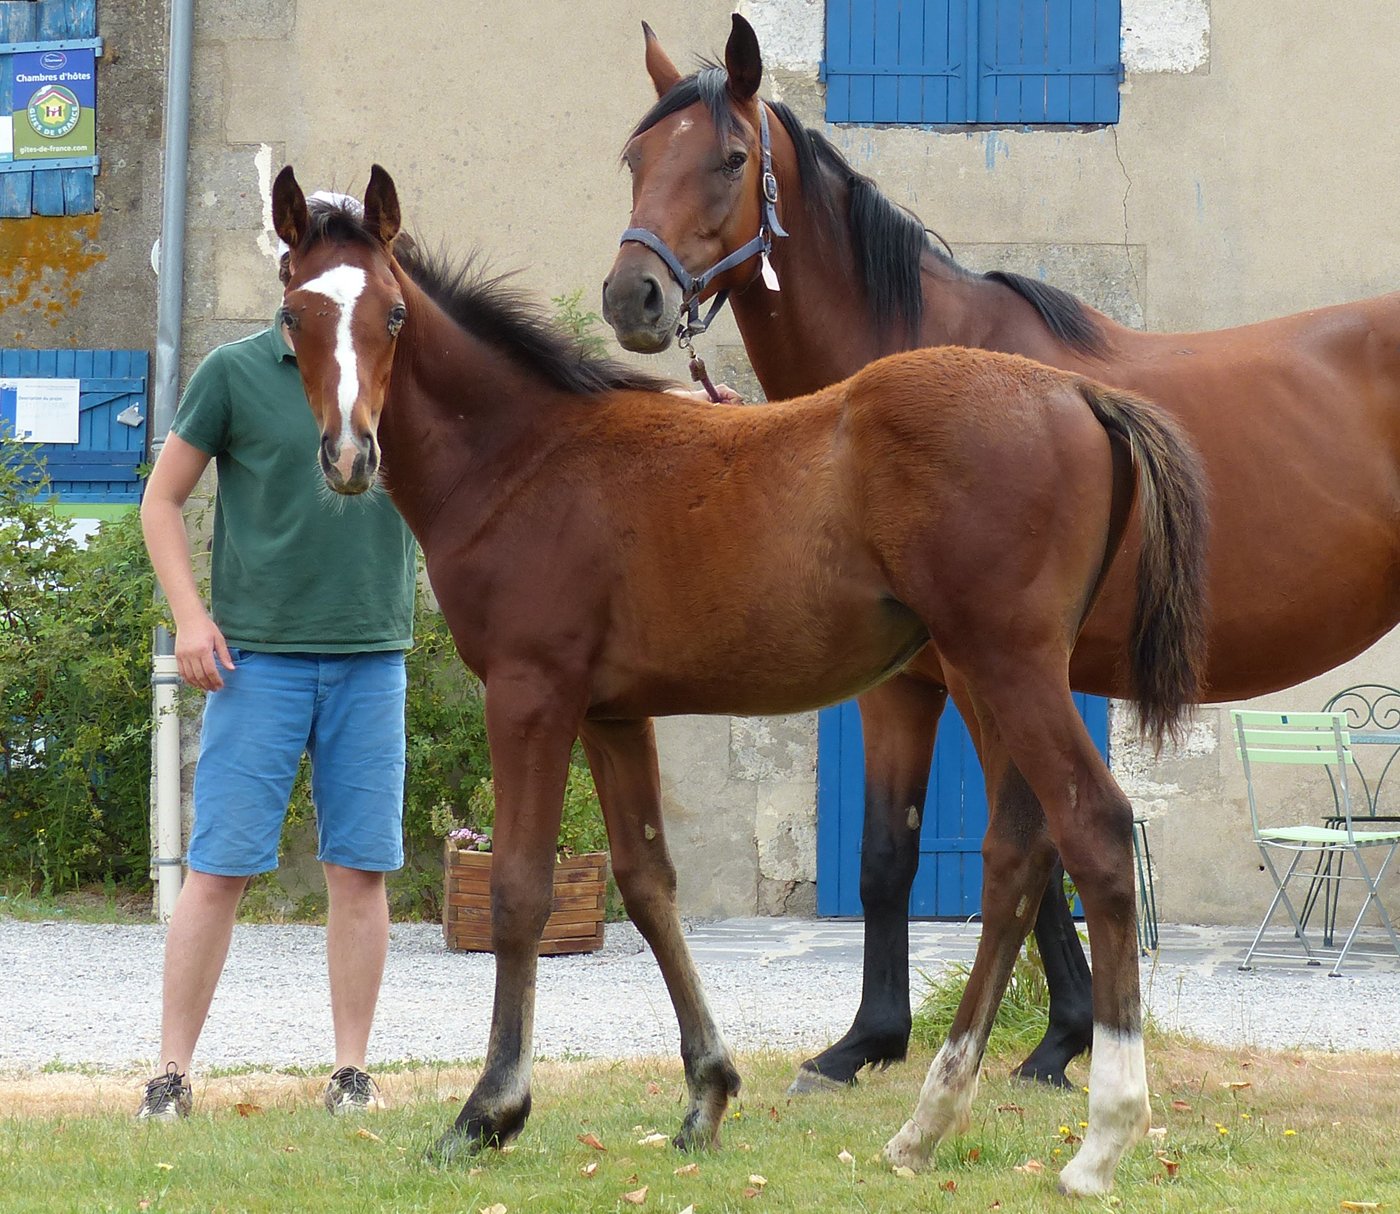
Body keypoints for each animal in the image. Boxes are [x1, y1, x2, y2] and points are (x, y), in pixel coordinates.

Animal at [270, 164, 1207, 1195]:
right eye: (293, 317)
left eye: (394, 315)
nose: (348, 455)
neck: (522, 458)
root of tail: (1076, 389)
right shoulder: (610, 712)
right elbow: (646, 883)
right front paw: (707, 1096)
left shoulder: (529, 693)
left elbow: (520, 891)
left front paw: (488, 1113)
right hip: (984, 671)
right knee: (1017, 854)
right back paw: (925, 1126)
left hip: (1011, 665)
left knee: (1096, 830)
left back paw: (1101, 1139)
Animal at [601, 12, 1400, 1095]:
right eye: (636, 160)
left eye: (729, 159)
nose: (630, 296)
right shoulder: (908, 684)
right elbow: (888, 857)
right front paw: (866, 1040)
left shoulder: (995, 674)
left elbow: (1035, 843)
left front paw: (1060, 1039)